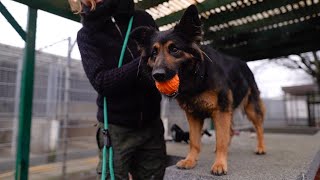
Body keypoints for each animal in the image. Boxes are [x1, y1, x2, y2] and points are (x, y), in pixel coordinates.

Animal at [131, 4, 266, 176]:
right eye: (154, 53)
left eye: (174, 49)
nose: (158, 75)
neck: (196, 77)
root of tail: (244, 64)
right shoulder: (193, 114)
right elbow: (195, 141)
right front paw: (190, 161)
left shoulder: (221, 110)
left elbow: (220, 139)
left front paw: (220, 164)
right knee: (230, 131)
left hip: (250, 107)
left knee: (259, 126)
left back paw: (261, 147)